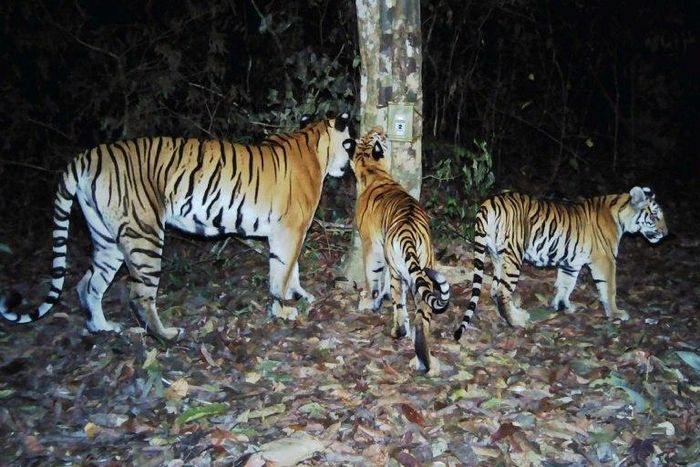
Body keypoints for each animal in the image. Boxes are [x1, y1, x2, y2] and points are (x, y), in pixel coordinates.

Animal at [0, 113, 352, 340]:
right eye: (351, 142)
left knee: (87, 284)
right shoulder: (290, 229)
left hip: (106, 238)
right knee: (138, 294)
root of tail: (85, 157)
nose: (349, 167)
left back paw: (102, 328)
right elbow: (283, 270)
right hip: (145, 234)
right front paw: (284, 307)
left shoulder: (287, 231)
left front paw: (298, 296)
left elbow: (290, 269)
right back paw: (167, 335)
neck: (314, 145)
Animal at [345, 127, 450, 375]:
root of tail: (409, 232)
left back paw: (398, 332)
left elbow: (373, 277)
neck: (372, 170)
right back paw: (423, 355)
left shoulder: (372, 245)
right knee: (422, 315)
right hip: (424, 268)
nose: (380, 129)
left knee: (400, 305)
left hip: (398, 271)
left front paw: (371, 301)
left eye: (376, 136)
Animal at [453, 187, 668, 340]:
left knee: (495, 289)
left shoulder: (570, 263)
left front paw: (563, 306)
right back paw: (516, 321)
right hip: (514, 254)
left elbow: (566, 285)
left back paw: (513, 315)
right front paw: (616, 313)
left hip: (497, 255)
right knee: (502, 291)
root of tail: (489, 202)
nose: (666, 233)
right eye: (654, 216)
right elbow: (609, 289)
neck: (620, 215)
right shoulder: (605, 260)